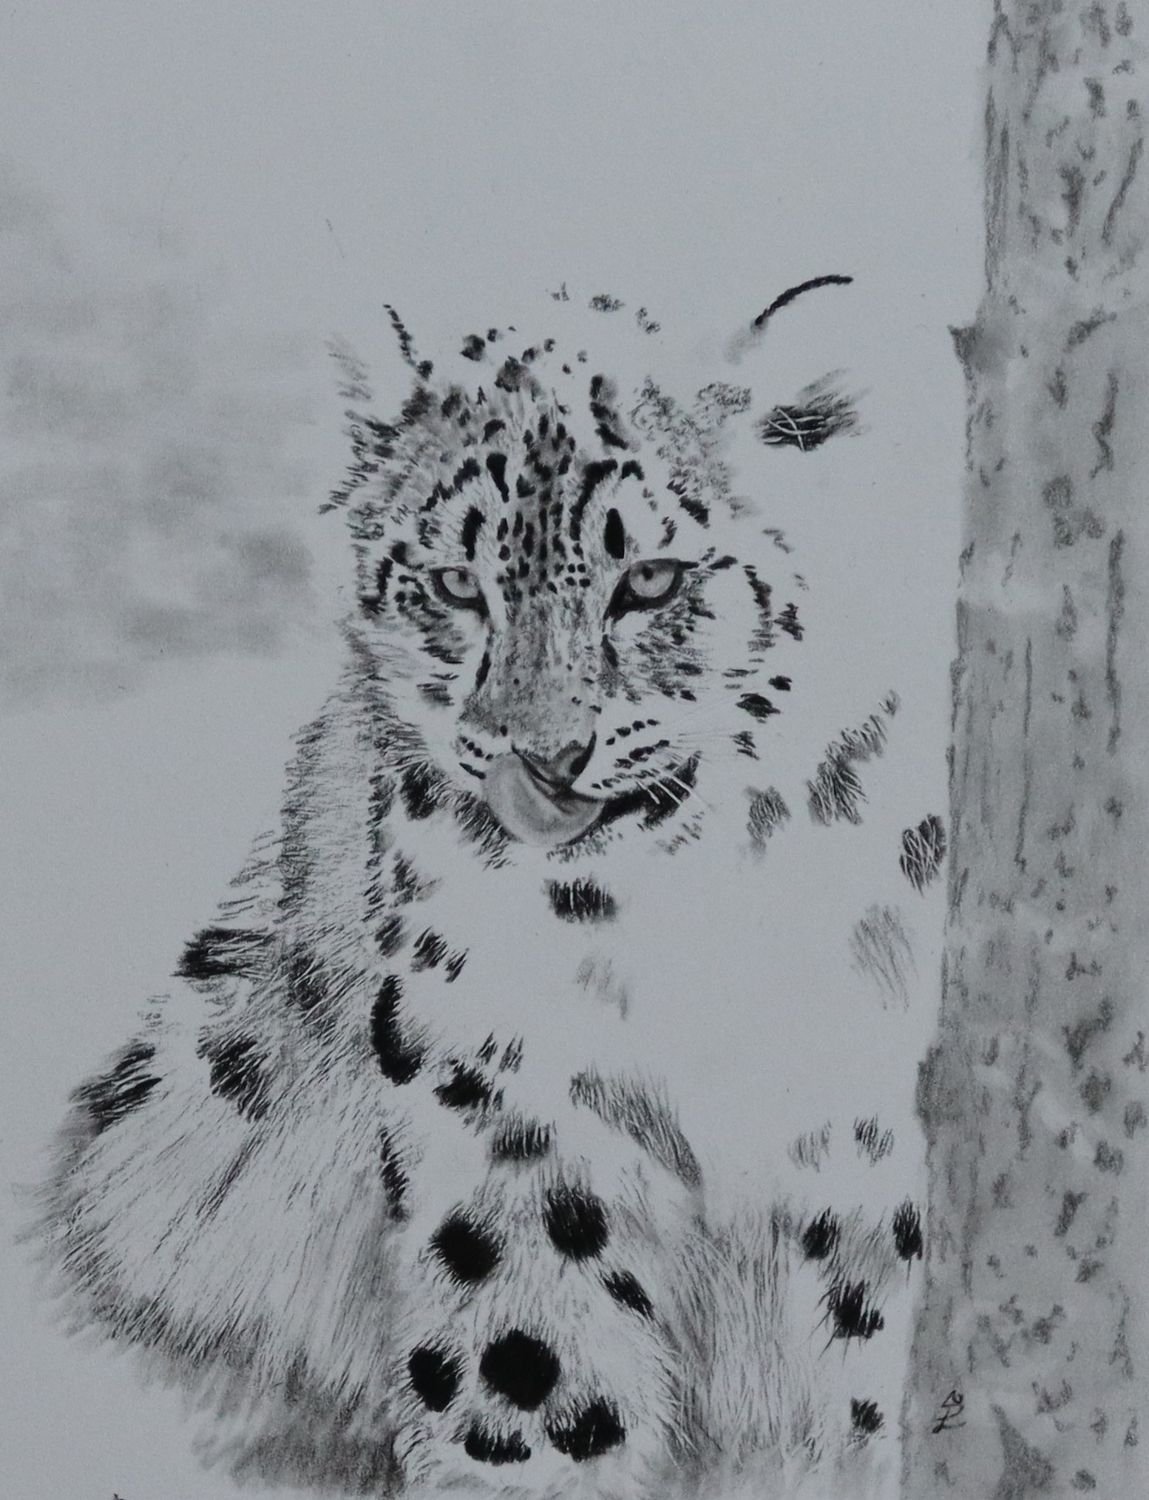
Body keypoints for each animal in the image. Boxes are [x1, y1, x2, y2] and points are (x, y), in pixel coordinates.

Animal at [34, 287, 947, 1499]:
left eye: (652, 579)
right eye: (457, 585)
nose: (539, 757)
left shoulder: (863, 1099)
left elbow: (858, 1330)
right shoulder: (502, 1072)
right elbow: (531, 1349)